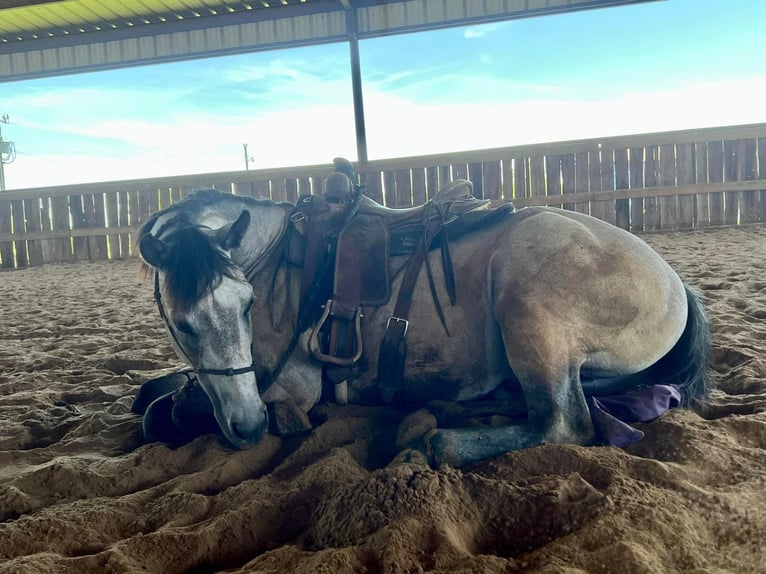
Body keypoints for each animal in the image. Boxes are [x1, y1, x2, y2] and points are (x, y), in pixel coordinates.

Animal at [134, 165, 712, 468]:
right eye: (182, 325)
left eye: (249, 304)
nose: (249, 425)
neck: (280, 260)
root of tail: (677, 284)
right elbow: (155, 395)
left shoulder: (291, 386)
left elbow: (163, 412)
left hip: (530, 307)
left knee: (562, 422)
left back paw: (438, 437)